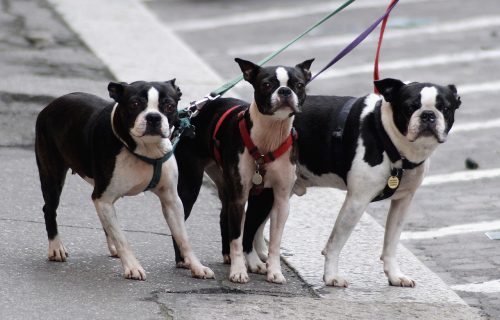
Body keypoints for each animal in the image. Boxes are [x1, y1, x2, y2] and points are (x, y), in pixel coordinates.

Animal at [35, 80, 215, 280]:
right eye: (134, 104)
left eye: (169, 106)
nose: (153, 117)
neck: (146, 149)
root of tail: (51, 105)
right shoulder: (103, 198)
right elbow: (123, 238)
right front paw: (132, 266)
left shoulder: (171, 201)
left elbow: (183, 237)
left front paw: (197, 266)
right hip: (52, 175)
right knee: (49, 208)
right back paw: (56, 247)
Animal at [174, 58, 310, 284]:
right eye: (266, 84)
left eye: (299, 85)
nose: (284, 91)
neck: (270, 135)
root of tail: (192, 112)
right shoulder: (240, 196)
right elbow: (237, 237)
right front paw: (239, 271)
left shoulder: (278, 199)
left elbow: (271, 239)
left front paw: (273, 270)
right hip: (191, 185)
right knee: (179, 221)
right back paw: (184, 260)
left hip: (228, 186)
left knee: (224, 215)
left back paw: (233, 257)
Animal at [242, 78, 460, 288]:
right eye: (409, 107)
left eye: (445, 108)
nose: (428, 115)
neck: (387, 137)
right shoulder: (357, 201)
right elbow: (335, 243)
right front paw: (331, 277)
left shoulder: (403, 202)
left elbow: (391, 243)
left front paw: (395, 276)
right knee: (249, 226)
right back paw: (252, 262)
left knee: (261, 225)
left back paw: (263, 256)